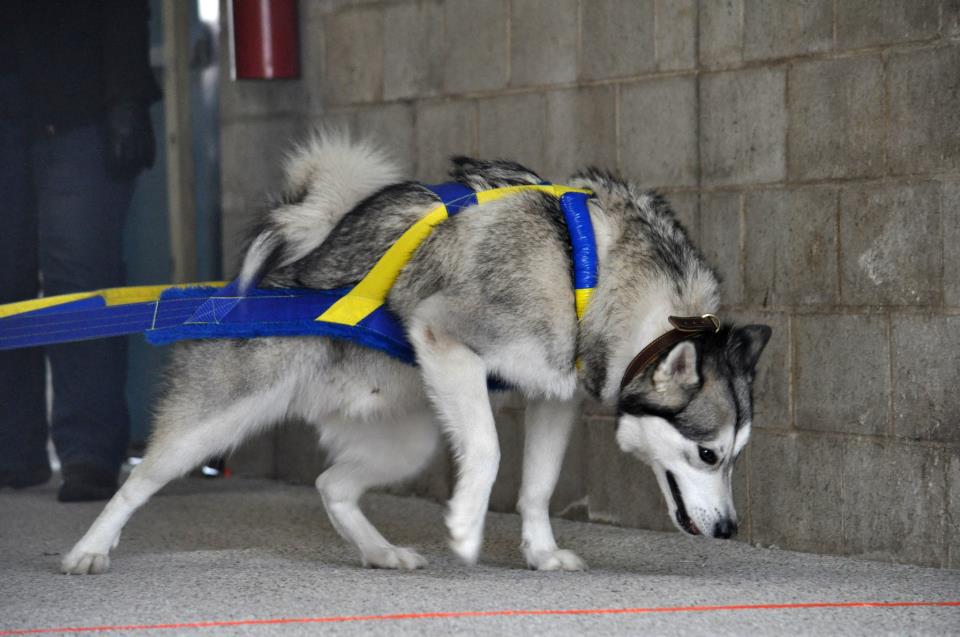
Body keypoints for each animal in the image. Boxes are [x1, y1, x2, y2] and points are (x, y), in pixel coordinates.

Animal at [62, 132, 772, 572]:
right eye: (708, 454)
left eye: (736, 456)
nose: (731, 531)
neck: (589, 272)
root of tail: (290, 274)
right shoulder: (445, 339)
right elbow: (487, 451)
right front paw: (465, 526)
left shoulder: (553, 397)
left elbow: (538, 486)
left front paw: (540, 554)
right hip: (210, 425)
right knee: (138, 481)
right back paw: (89, 550)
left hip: (408, 441)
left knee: (332, 485)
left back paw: (381, 553)